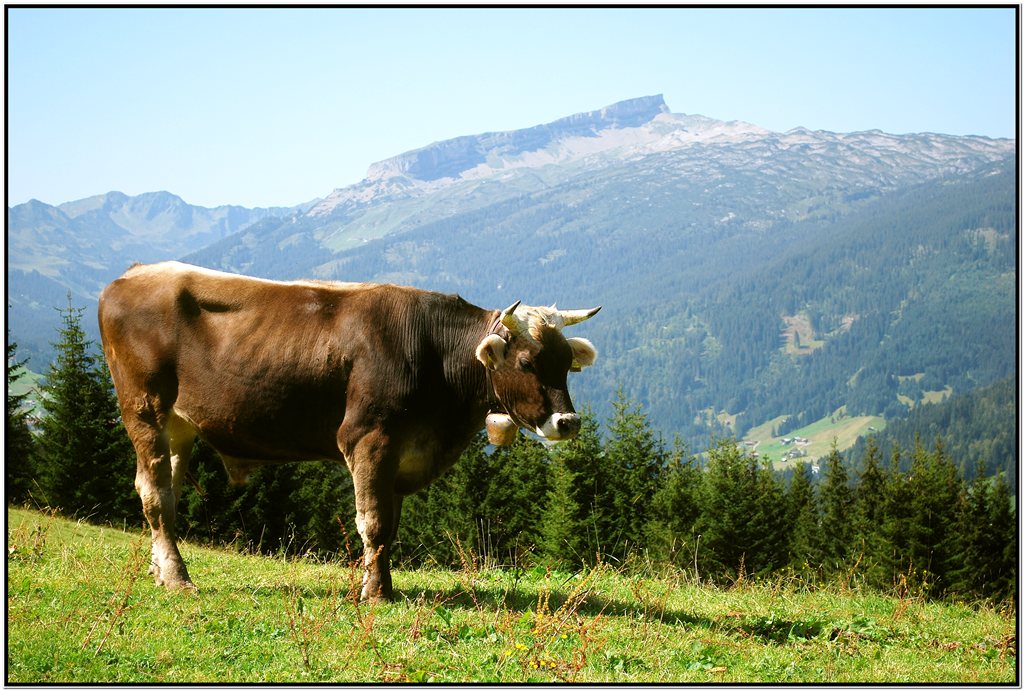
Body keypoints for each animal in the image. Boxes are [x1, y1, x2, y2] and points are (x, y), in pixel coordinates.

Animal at [98, 261, 599, 601]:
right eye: (527, 362)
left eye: (566, 364)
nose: (568, 422)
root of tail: (135, 274)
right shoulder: (370, 439)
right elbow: (372, 522)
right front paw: (373, 594)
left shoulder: (401, 454)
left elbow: (390, 527)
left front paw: (388, 587)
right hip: (144, 408)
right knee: (155, 493)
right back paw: (178, 578)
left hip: (179, 423)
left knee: (165, 490)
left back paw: (161, 571)